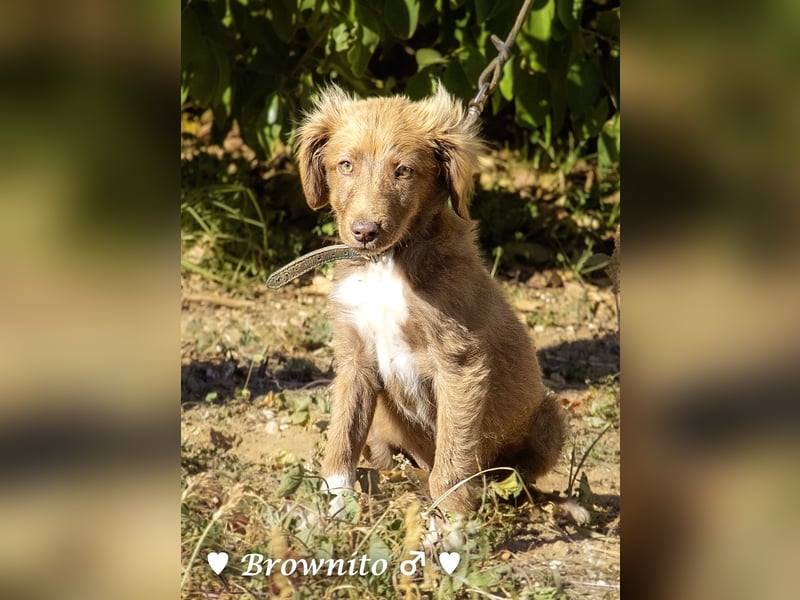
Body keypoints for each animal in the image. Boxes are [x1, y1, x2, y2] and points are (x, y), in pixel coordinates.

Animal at [294, 84, 564, 516]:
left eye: (403, 170)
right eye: (345, 165)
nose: (364, 232)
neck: (387, 264)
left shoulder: (459, 362)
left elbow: (452, 460)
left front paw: (450, 523)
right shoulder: (356, 356)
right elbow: (342, 439)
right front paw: (333, 509)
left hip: (549, 418)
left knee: (510, 474)